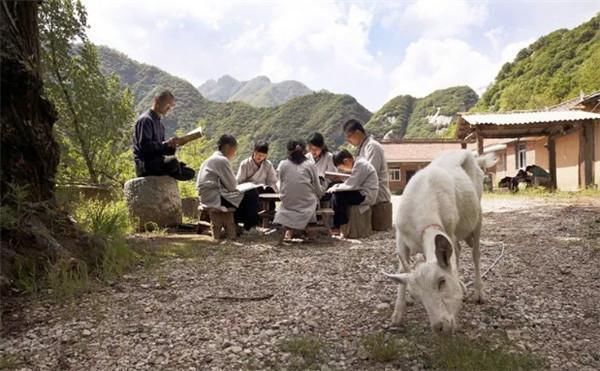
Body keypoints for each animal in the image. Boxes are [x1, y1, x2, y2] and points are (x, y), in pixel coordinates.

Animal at [384, 150, 496, 336]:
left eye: (441, 281)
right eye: (417, 295)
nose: (440, 327)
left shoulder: (448, 228)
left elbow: (453, 259)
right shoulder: (400, 237)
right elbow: (403, 268)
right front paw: (397, 315)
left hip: (478, 214)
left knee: (475, 253)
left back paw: (478, 293)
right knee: (458, 249)